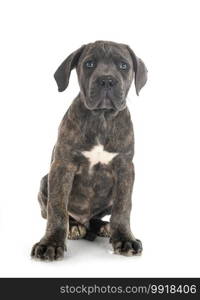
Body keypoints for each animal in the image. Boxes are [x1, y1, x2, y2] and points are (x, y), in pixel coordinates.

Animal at [30, 40, 147, 260]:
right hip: (44, 181)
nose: (107, 80)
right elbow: (57, 208)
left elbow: (123, 207)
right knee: (64, 215)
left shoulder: (125, 169)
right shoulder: (62, 166)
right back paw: (74, 227)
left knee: (96, 218)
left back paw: (102, 226)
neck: (101, 117)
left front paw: (124, 238)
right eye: (89, 64)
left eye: (124, 66)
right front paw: (51, 243)